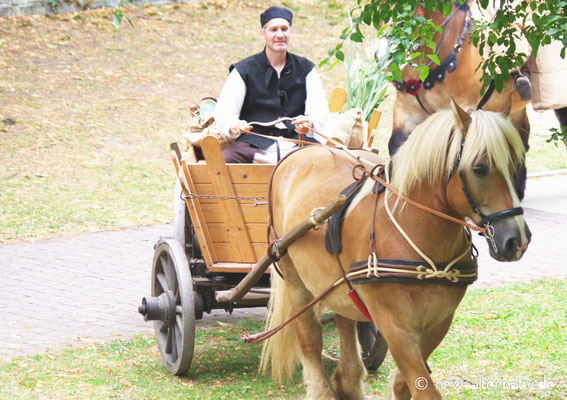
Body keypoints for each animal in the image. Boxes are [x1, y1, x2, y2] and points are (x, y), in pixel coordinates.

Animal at [262, 101, 532, 398]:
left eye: (516, 167)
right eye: (480, 168)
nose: (517, 240)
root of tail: (299, 152)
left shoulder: (439, 322)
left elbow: (405, 383)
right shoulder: (395, 327)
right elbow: (424, 389)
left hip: (338, 284)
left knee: (345, 327)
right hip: (296, 281)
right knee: (310, 340)